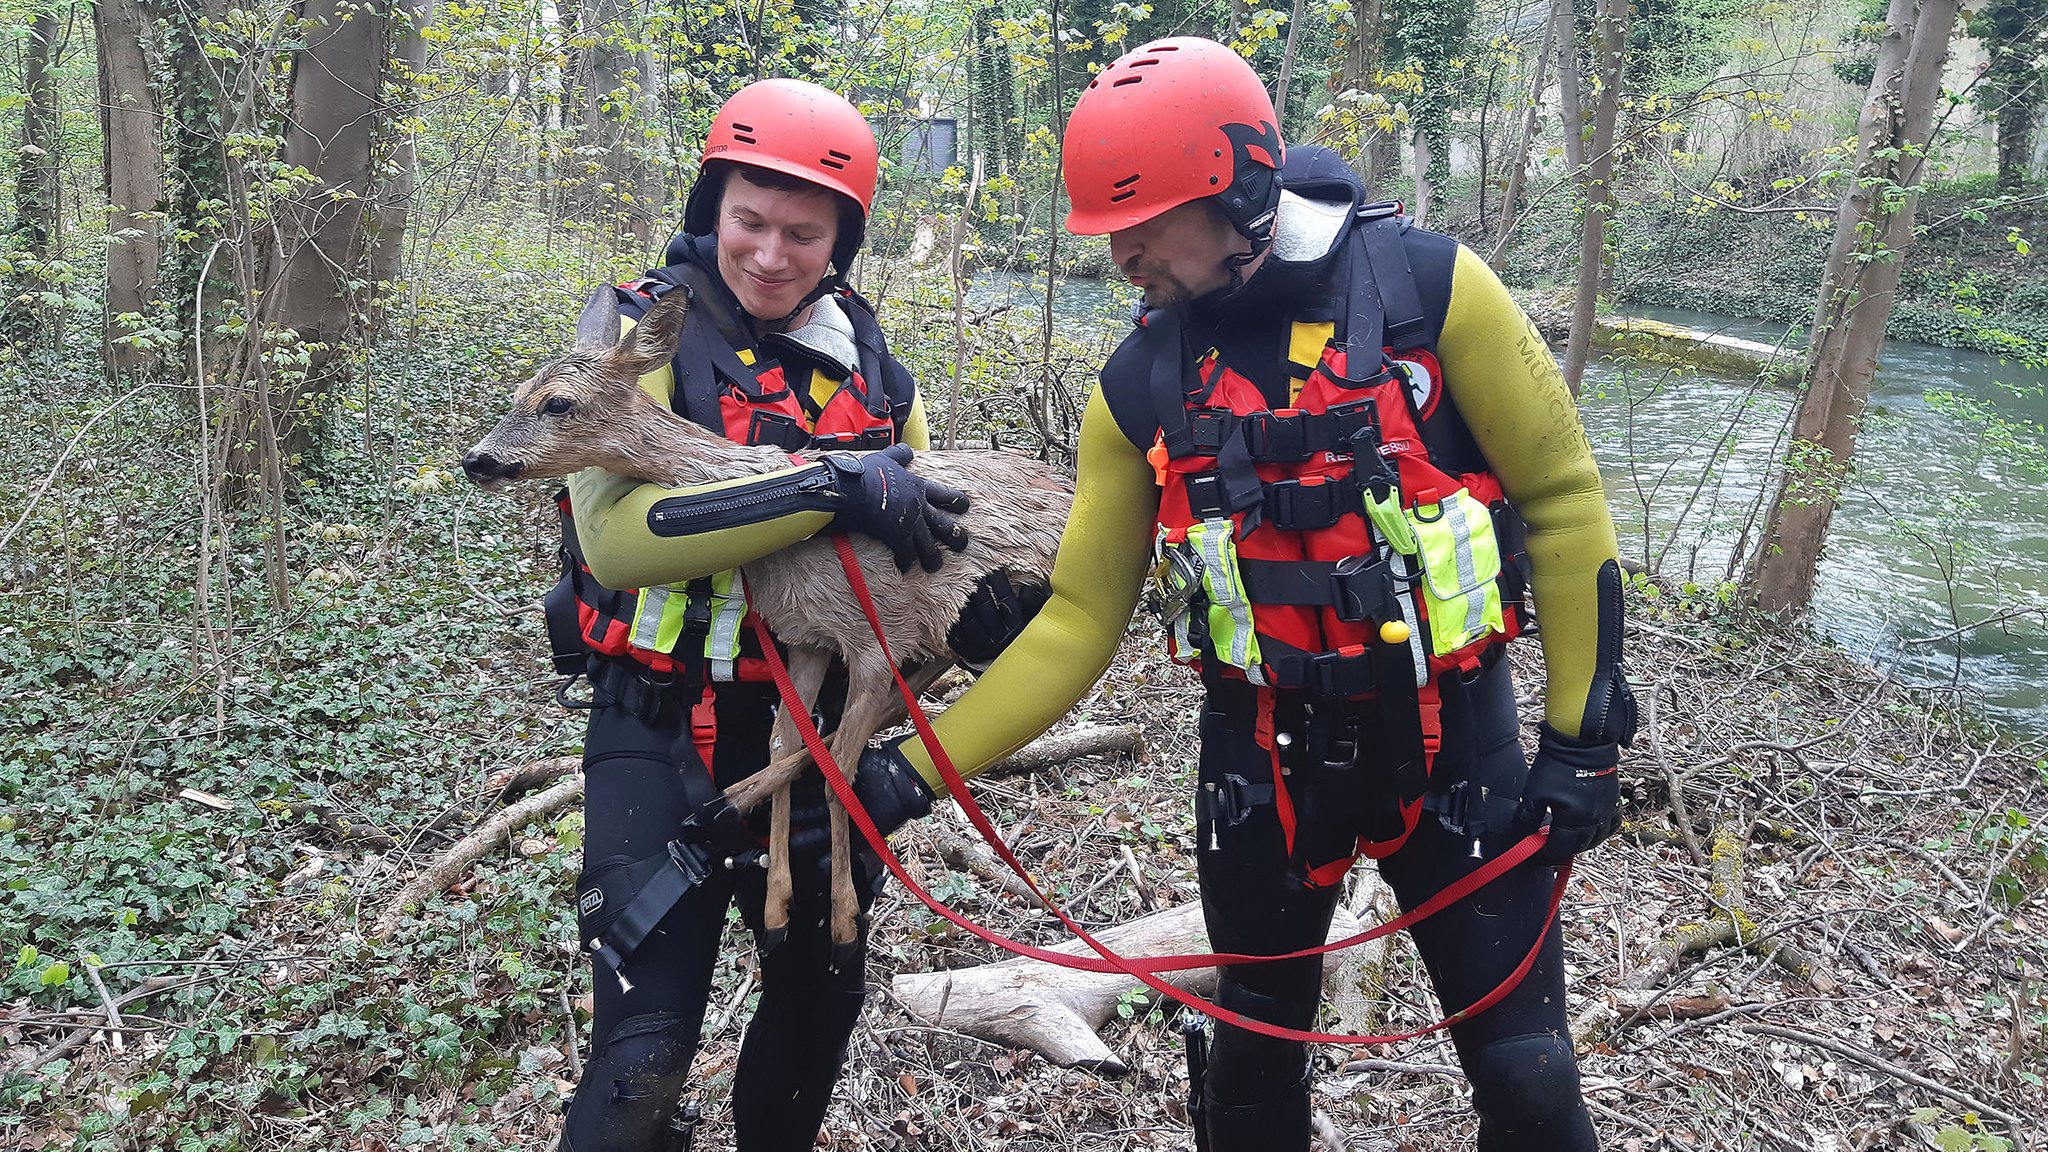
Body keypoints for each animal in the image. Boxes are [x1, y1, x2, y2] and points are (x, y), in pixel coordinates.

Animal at [464, 286, 1073, 959]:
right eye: (519, 390)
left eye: (558, 403)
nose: (476, 459)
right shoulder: (809, 638)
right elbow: (789, 739)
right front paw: (778, 903)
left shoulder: (873, 635)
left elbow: (841, 773)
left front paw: (841, 919)